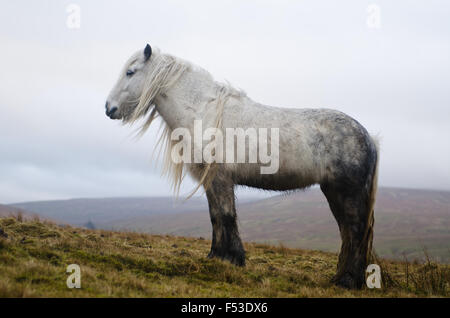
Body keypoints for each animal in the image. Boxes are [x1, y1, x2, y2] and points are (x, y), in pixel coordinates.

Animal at [106, 43, 380, 290]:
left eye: (130, 72)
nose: (109, 108)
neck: (202, 112)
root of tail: (368, 136)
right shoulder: (212, 182)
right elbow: (215, 216)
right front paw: (217, 256)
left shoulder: (221, 179)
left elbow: (226, 216)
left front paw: (232, 258)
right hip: (333, 192)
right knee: (347, 232)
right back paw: (342, 277)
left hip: (347, 193)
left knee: (355, 230)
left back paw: (348, 281)